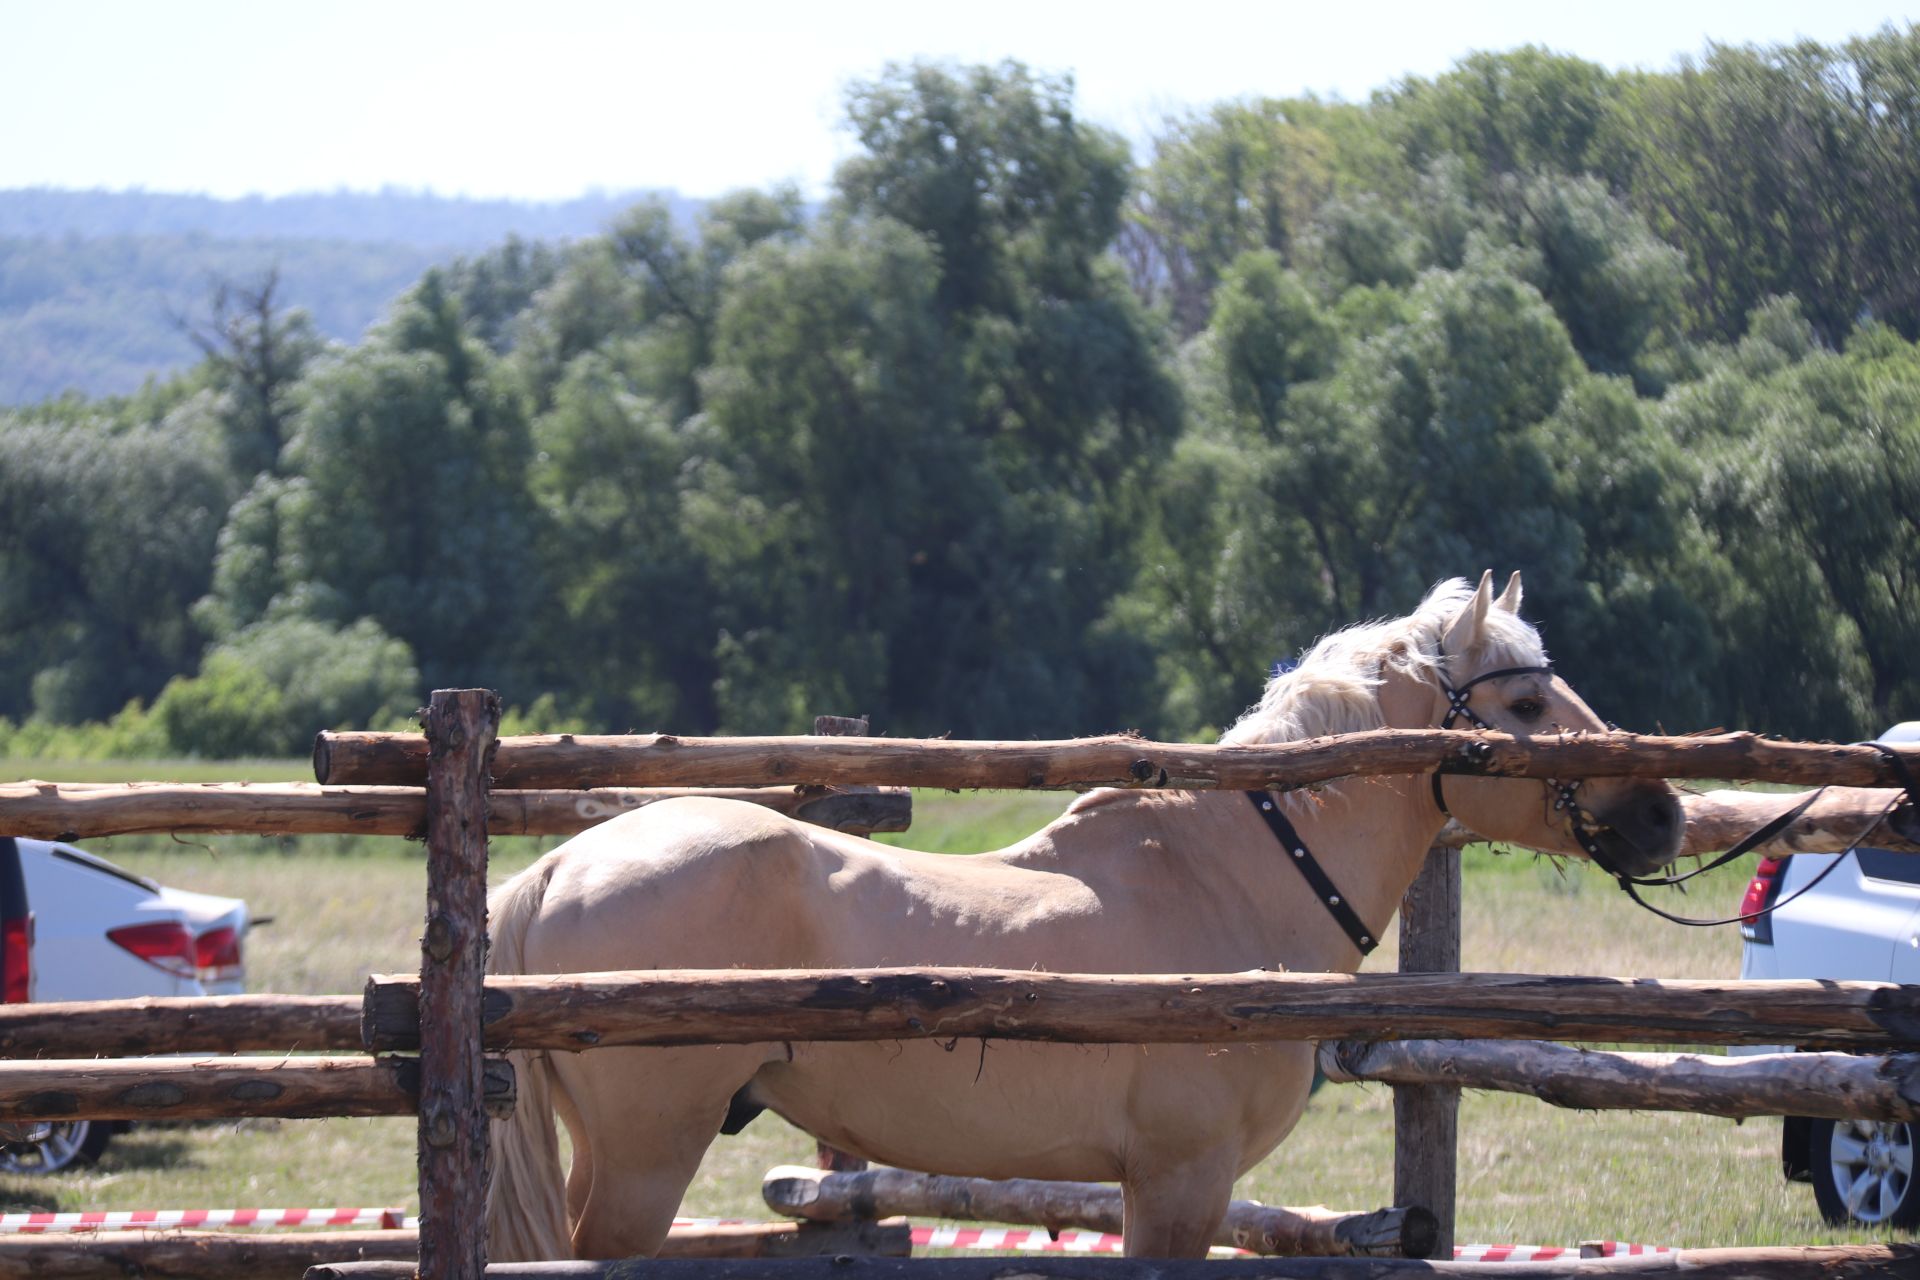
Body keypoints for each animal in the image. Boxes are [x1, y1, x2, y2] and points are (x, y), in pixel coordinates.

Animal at [483, 579, 1681, 1258]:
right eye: (1524, 703)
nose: (1661, 813)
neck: (1231, 879)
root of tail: (559, 867)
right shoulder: (1181, 1181)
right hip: (644, 1159)